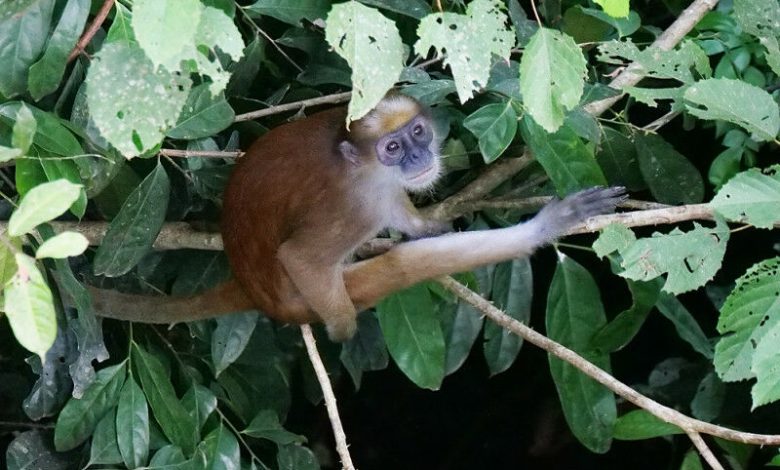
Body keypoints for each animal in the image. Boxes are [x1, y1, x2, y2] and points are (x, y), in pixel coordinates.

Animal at [93, 92, 628, 342]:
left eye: (418, 134)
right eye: (393, 148)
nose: (418, 157)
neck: (358, 161)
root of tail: (251, 288)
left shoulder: (383, 192)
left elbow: (407, 218)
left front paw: (426, 221)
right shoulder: (354, 206)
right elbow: (302, 258)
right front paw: (344, 328)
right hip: (302, 298)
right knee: (398, 268)